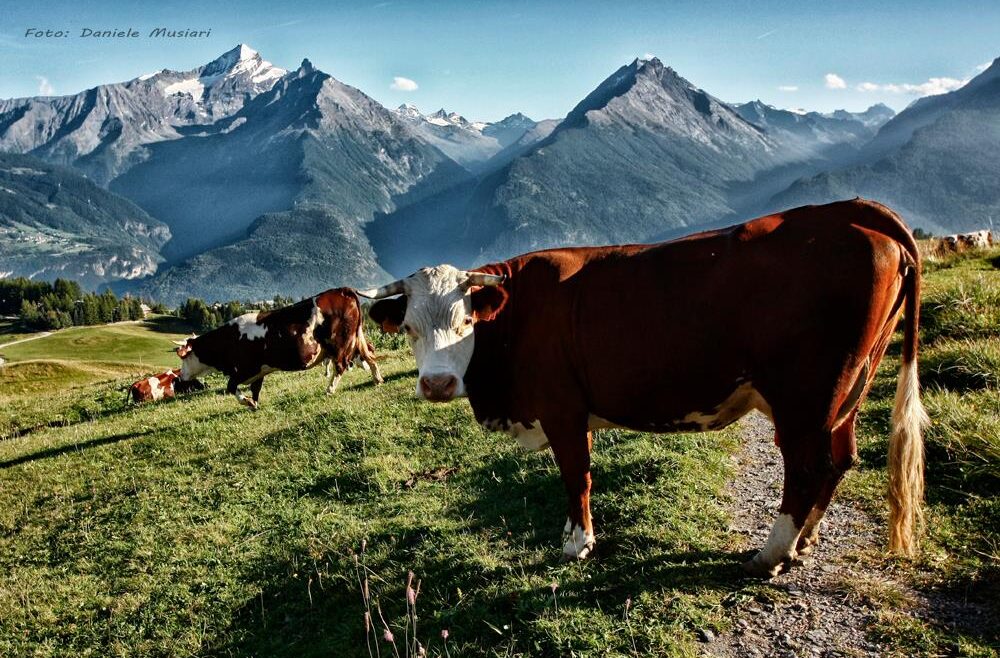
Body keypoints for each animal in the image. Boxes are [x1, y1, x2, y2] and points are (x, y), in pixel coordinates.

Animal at [174, 288, 380, 408]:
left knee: (341, 365)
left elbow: (231, 386)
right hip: (356, 337)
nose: (180, 376)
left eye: (183, 358)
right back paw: (377, 379)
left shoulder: (246, 369)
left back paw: (330, 389)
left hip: (339, 343)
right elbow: (255, 389)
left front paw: (246, 402)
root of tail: (342, 290)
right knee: (369, 356)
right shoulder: (258, 372)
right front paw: (253, 403)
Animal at [366, 199, 928, 576]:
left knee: (809, 467)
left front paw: (577, 544)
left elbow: (577, 477)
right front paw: (572, 534)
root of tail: (848, 211)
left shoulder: (562, 409)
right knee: (840, 460)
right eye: (409, 328)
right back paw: (803, 542)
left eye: (466, 322)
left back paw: (770, 554)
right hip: (846, 392)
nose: (437, 383)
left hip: (805, 396)